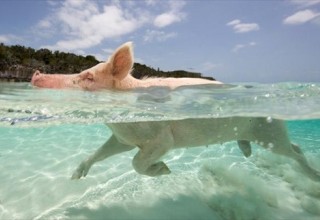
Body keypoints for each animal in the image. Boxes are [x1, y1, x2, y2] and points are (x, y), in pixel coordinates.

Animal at [72, 117, 320, 180]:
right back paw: (246, 150)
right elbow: (106, 150)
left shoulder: (160, 138)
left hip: (268, 131)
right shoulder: (123, 137)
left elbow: (137, 161)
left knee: (294, 150)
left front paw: (163, 170)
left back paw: (313, 176)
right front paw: (76, 175)